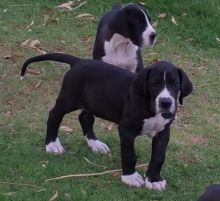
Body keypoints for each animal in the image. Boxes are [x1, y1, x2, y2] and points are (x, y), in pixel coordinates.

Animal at [20, 52, 192, 190]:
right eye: (154, 83)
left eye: (175, 84)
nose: (165, 102)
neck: (150, 108)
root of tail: (79, 62)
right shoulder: (126, 129)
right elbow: (129, 154)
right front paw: (130, 177)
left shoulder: (163, 132)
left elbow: (158, 157)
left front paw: (154, 180)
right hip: (69, 99)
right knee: (54, 115)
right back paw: (52, 145)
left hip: (93, 102)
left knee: (85, 118)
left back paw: (95, 144)